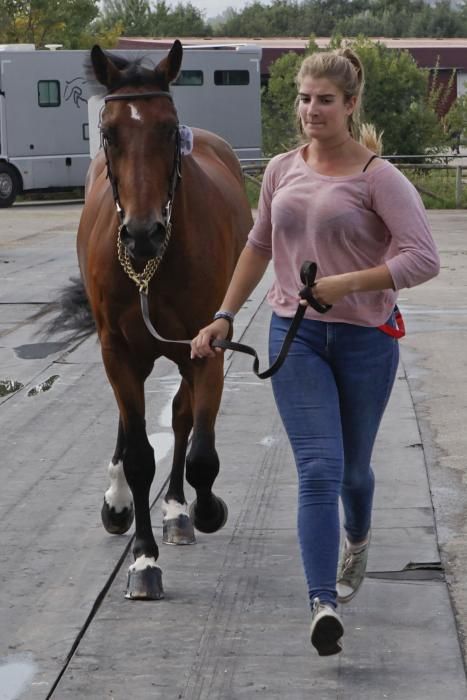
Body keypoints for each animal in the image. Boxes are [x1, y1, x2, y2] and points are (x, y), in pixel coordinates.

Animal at [77, 39, 254, 596]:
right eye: (109, 132)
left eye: (170, 128)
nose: (142, 233)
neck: (150, 267)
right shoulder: (116, 349)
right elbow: (138, 454)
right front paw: (143, 559)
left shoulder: (206, 347)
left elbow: (199, 453)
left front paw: (205, 509)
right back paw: (118, 505)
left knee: (180, 418)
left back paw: (177, 509)